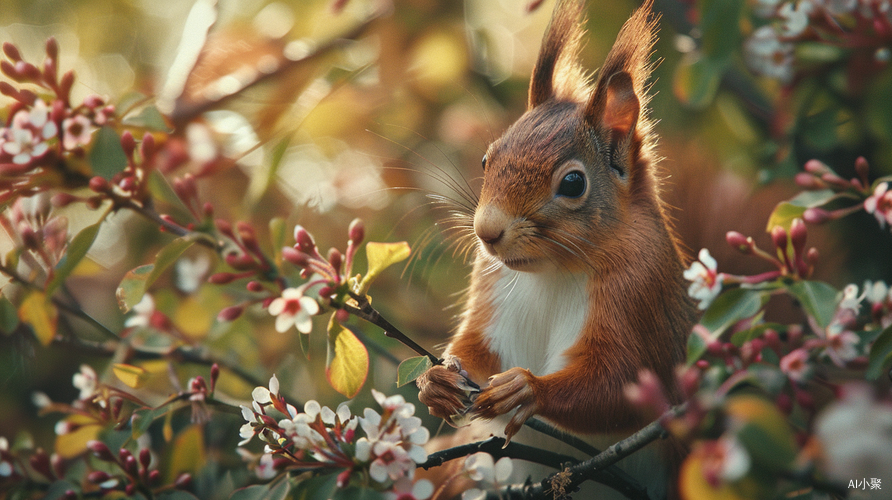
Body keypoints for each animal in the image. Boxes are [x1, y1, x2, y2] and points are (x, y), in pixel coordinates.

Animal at [418, 0, 696, 458]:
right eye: (486, 159)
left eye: (572, 183)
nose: (486, 232)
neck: (551, 272)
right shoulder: (492, 288)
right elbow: (475, 348)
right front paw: (435, 380)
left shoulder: (639, 292)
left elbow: (616, 388)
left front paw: (527, 389)